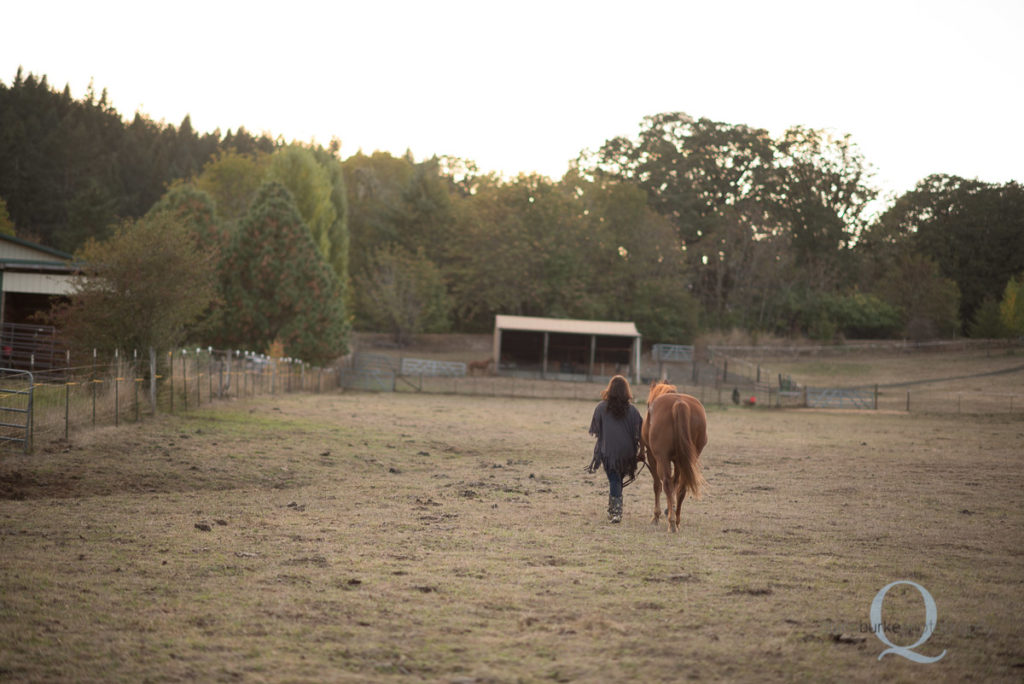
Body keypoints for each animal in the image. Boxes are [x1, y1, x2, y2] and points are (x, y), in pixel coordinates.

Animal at [643, 382, 708, 532]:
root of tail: (679, 403)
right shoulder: (678, 461)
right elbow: (675, 484)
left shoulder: (652, 456)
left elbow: (658, 485)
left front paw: (656, 516)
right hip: (688, 460)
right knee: (682, 487)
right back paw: (676, 521)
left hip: (661, 458)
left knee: (666, 483)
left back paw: (672, 523)